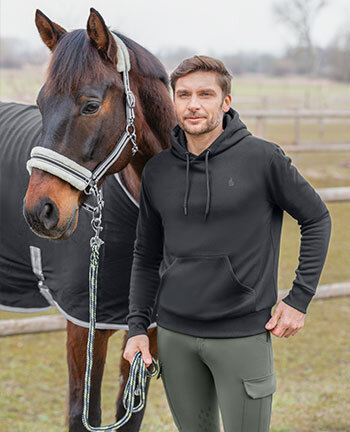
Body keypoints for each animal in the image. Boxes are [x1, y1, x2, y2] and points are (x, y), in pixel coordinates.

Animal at [0, 7, 175, 432]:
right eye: (41, 103)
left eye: (91, 105)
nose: (40, 210)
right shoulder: (84, 325)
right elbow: (83, 413)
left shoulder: (146, 329)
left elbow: (130, 413)